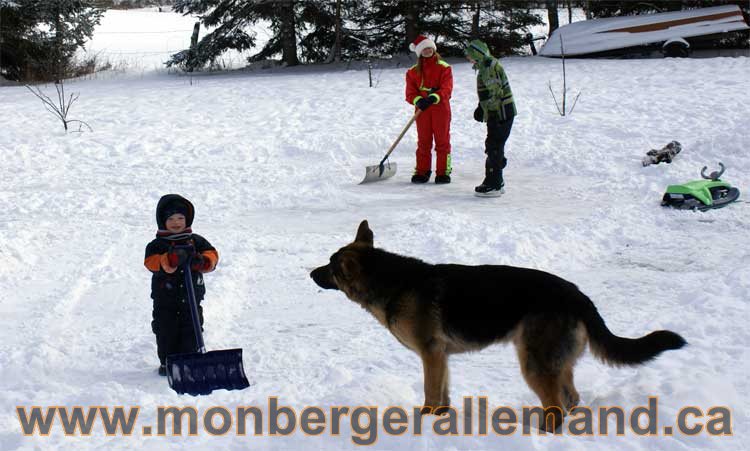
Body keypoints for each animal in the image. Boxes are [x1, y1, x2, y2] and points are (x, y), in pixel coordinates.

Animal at [312, 221, 688, 432]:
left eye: (330, 267)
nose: (310, 273)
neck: (389, 281)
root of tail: (578, 296)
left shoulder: (431, 354)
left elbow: (431, 393)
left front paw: (426, 421)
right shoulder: (441, 356)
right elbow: (443, 392)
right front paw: (441, 419)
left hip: (533, 364)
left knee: (556, 407)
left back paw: (542, 434)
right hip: (554, 362)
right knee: (571, 399)